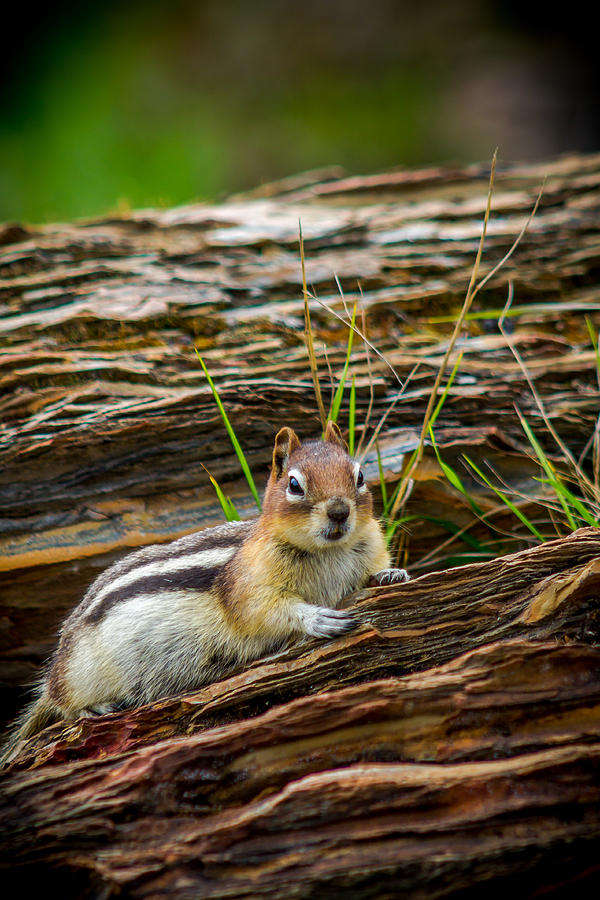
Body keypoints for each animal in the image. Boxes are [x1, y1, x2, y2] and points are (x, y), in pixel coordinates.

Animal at [0, 421, 409, 765]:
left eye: (359, 476)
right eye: (294, 485)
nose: (339, 512)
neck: (329, 553)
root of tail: (55, 671)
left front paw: (392, 573)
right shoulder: (249, 586)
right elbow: (265, 611)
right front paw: (316, 617)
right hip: (79, 674)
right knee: (63, 706)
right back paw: (91, 708)